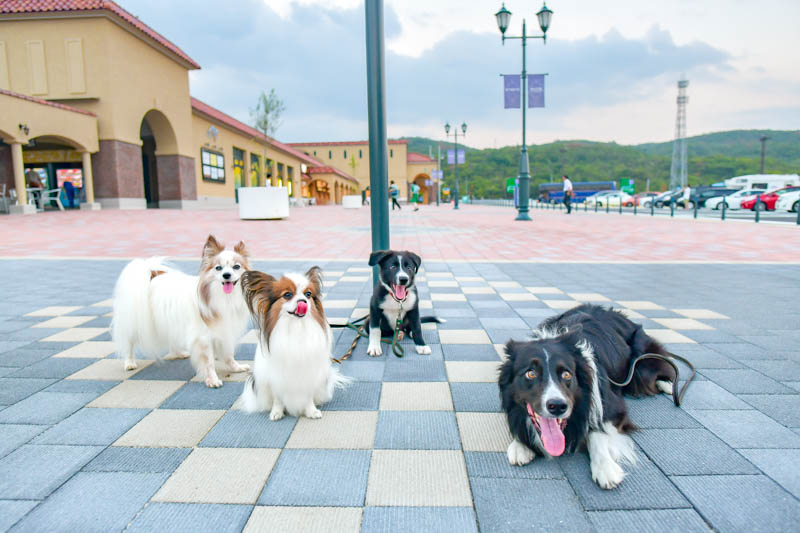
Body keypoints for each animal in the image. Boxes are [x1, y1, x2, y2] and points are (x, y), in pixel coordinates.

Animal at [111, 236, 252, 386]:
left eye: (236, 267)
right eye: (218, 268)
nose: (226, 275)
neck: (224, 297)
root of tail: (151, 274)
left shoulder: (225, 330)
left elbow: (229, 354)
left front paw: (236, 368)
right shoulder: (203, 337)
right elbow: (209, 362)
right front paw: (212, 380)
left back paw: (179, 353)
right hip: (134, 322)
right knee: (129, 343)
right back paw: (129, 363)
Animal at [239, 266, 348, 420]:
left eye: (308, 294)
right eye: (288, 295)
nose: (303, 301)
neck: (296, 327)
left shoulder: (309, 374)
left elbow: (308, 396)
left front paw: (311, 411)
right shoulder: (276, 377)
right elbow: (278, 398)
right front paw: (276, 412)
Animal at [500, 306, 676, 488]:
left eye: (566, 374)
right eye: (531, 373)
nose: (557, 406)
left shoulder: (612, 406)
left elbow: (597, 432)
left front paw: (606, 467)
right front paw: (520, 445)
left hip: (643, 365)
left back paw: (669, 385)